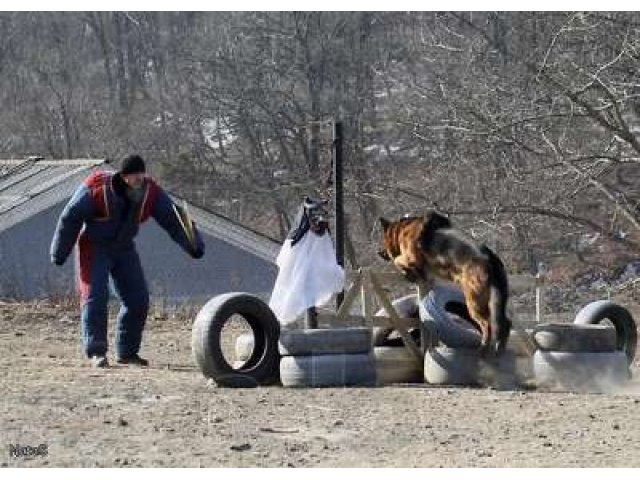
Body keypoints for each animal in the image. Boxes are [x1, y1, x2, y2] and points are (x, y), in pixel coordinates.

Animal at [380, 212, 510, 354]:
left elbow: (398, 260)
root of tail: (491, 261)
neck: (402, 229)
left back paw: (483, 349)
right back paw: (499, 349)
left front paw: (407, 272)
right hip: (493, 302)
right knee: (504, 324)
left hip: (474, 302)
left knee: (487, 325)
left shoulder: (411, 257)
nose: (379, 253)